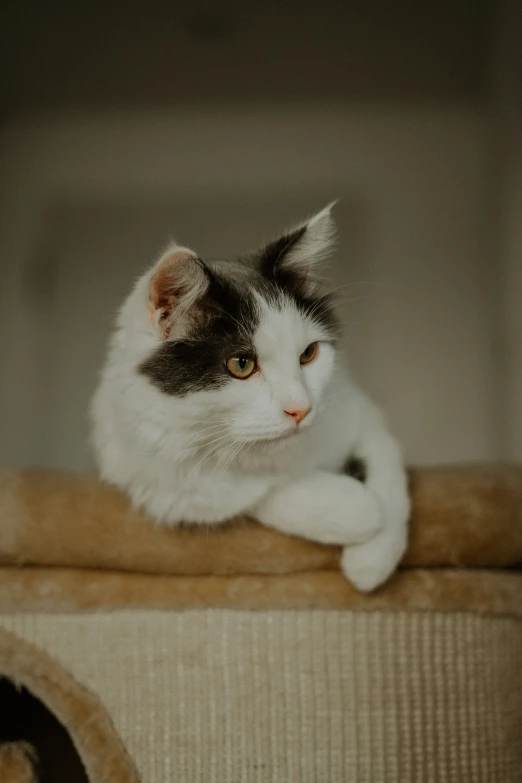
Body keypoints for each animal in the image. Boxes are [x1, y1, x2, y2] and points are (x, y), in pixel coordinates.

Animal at [90, 205, 410, 592]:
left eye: (308, 354)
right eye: (242, 365)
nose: (301, 409)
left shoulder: (356, 408)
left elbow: (386, 465)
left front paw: (372, 558)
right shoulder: (160, 481)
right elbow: (260, 492)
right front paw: (356, 509)